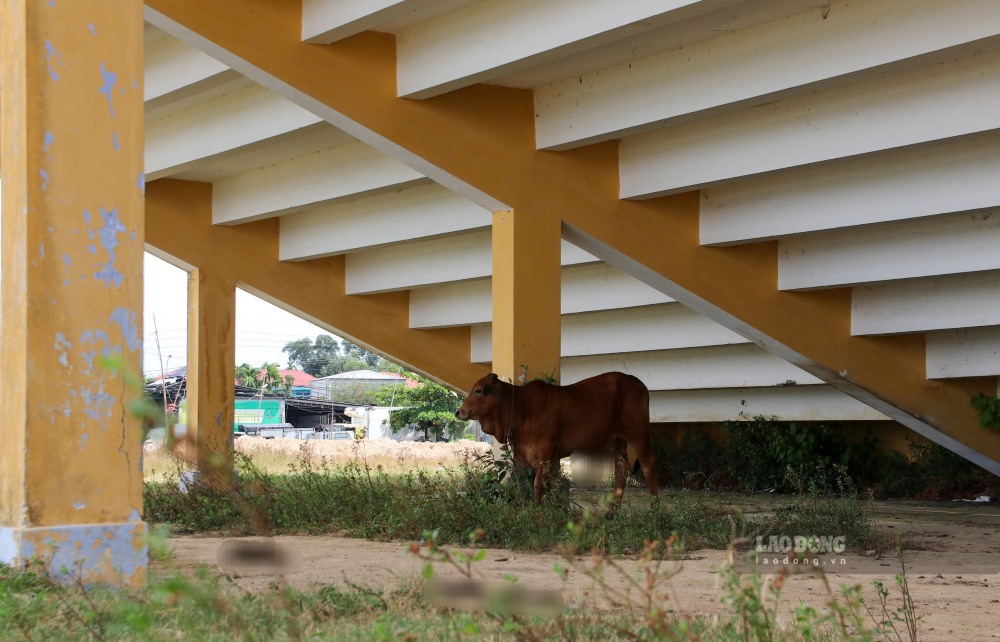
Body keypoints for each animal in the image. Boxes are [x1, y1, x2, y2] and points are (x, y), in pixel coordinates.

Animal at [454, 370, 656, 500]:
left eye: (478, 390)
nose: (458, 411)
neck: (522, 408)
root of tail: (637, 382)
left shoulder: (546, 452)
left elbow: (538, 484)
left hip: (639, 435)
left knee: (648, 467)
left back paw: (655, 508)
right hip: (619, 441)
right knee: (621, 472)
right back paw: (610, 513)